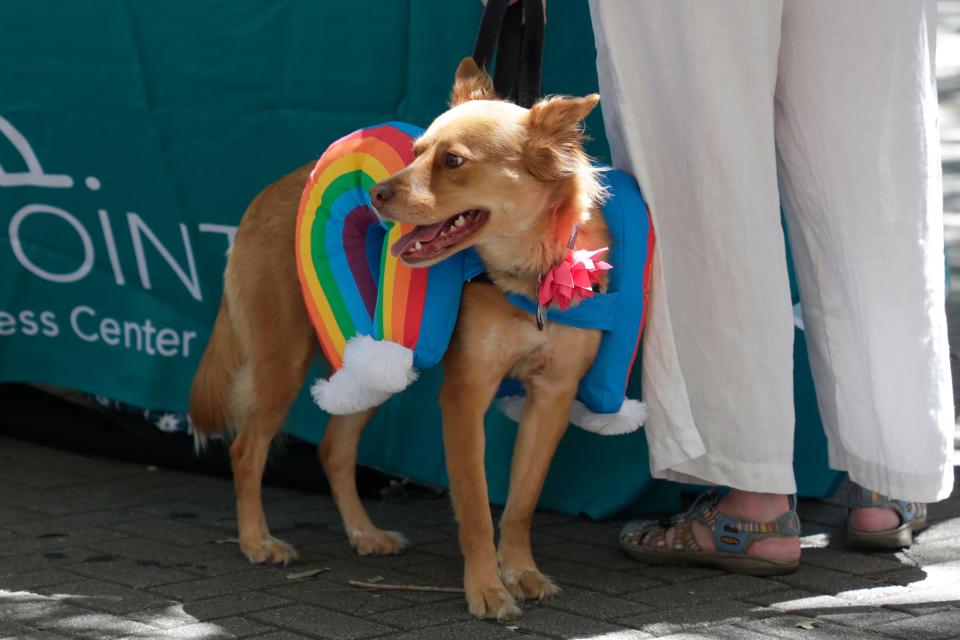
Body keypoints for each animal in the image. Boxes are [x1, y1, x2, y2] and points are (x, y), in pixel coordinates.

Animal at [189, 60, 608, 620]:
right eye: (415, 152)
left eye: (453, 161)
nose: (377, 194)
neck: (526, 277)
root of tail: (272, 189)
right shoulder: (464, 399)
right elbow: (476, 508)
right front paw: (486, 588)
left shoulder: (553, 399)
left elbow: (521, 503)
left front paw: (521, 572)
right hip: (284, 362)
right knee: (246, 449)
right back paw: (257, 541)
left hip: (373, 366)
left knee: (333, 449)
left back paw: (364, 533)